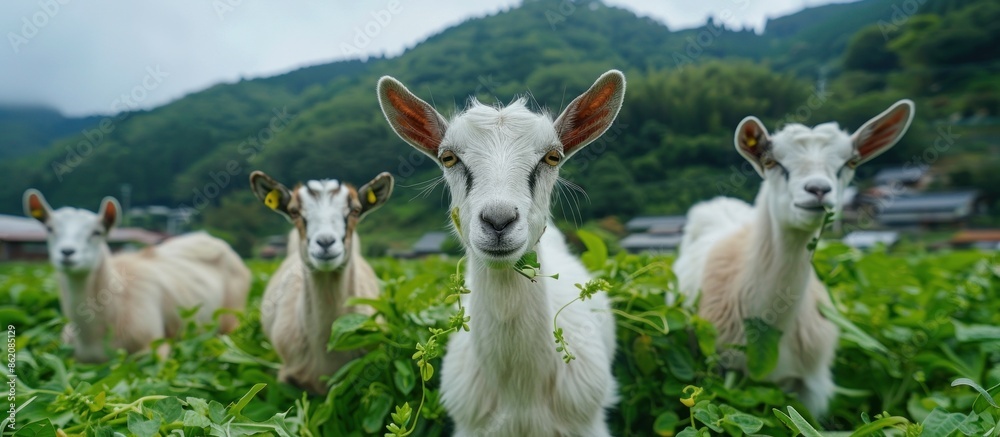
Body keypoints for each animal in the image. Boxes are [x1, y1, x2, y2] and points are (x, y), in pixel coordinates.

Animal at [23, 189, 250, 363]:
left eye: (97, 232)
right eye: (50, 228)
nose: (67, 253)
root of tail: (210, 238)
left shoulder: (155, 345)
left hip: (232, 314)